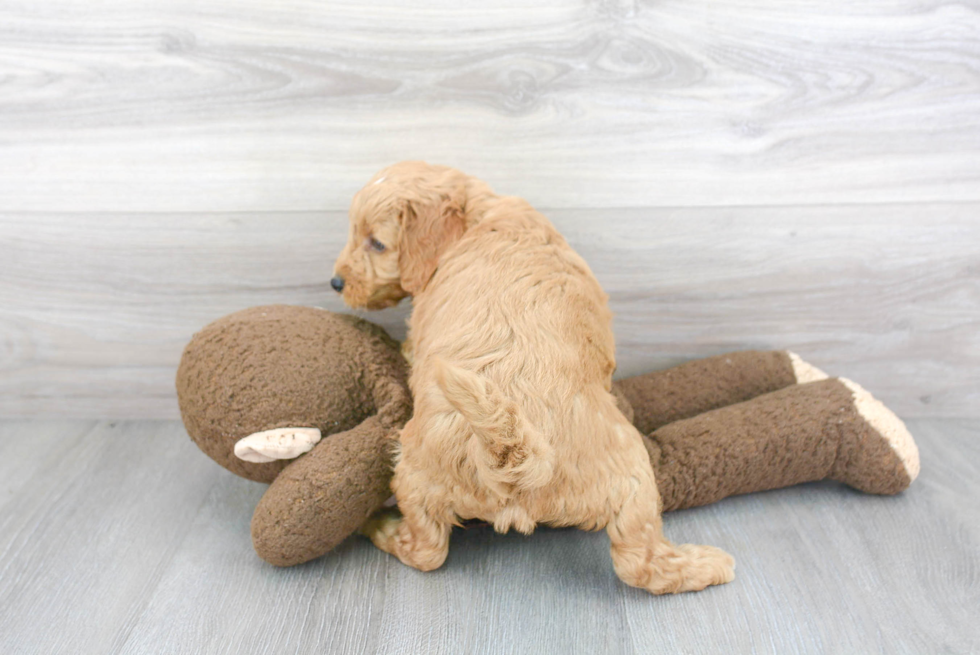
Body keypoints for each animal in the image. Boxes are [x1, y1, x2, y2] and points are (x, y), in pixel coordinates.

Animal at [334, 163, 732, 596]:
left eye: (376, 244)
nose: (336, 283)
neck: (481, 214)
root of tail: (512, 453)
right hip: (630, 476)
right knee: (639, 562)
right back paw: (710, 565)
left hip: (416, 473)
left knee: (427, 552)